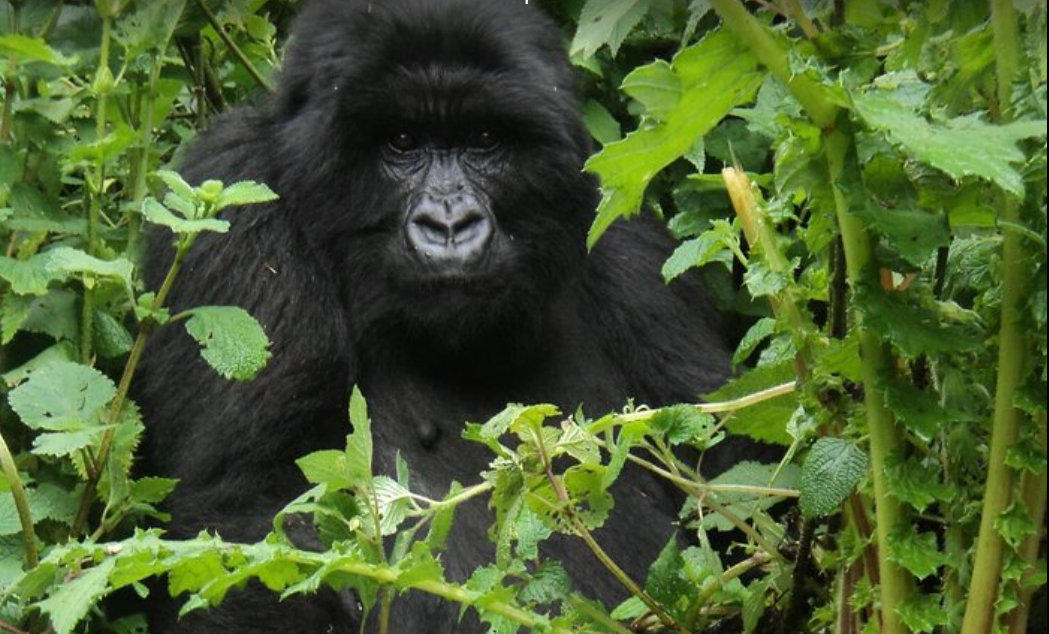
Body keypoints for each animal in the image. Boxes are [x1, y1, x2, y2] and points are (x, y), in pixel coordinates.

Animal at [135, 0, 734, 629]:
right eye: (402, 142)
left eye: (485, 139)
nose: (450, 224)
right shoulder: (229, 209)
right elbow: (247, 521)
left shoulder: (625, 237)